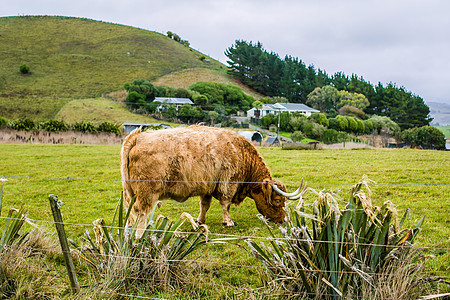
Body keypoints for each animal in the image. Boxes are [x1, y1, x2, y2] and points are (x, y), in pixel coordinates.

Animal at [121, 125, 300, 237]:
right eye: (277, 200)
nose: (283, 220)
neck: (241, 153)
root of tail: (137, 136)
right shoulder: (228, 184)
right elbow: (225, 204)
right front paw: (228, 222)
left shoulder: (207, 187)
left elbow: (204, 206)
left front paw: (200, 221)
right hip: (147, 193)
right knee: (140, 211)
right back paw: (140, 234)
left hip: (131, 192)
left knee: (131, 212)